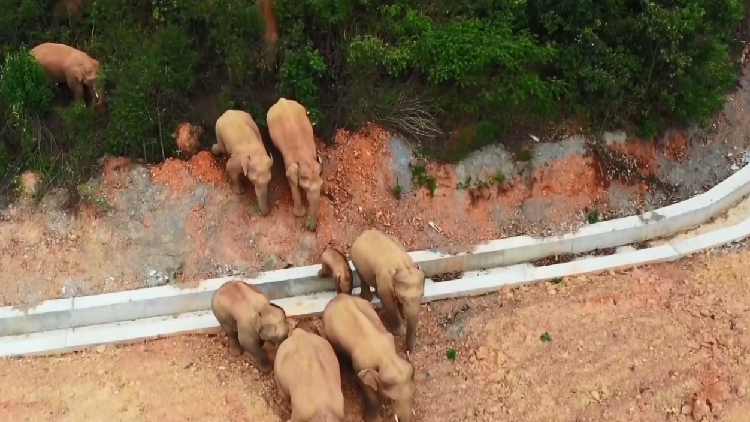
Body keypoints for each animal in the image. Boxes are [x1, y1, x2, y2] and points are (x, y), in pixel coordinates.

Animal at [268, 97, 324, 231]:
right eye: (307, 188)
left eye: (321, 186)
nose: (308, 225)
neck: (305, 158)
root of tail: (282, 99)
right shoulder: (289, 162)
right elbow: (292, 181)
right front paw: (300, 214)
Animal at [322, 294, 418, 422]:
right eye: (392, 400)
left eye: (413, 393)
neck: (386, 357)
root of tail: (337, 297)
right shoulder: (360, 366)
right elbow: (369, 392)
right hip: (329, 335)